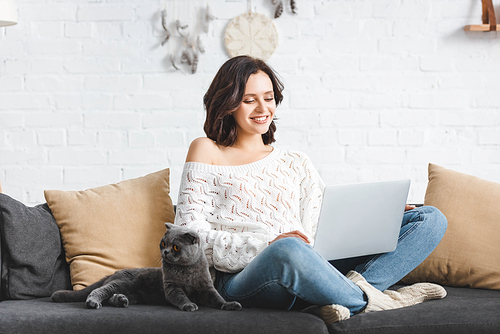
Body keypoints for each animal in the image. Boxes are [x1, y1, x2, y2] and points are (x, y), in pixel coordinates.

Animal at [50, 223, 242, 312]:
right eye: (163, 243)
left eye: (176, 247)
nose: (165, 252)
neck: (186, 271)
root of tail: (114, 272)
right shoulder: (171, 287)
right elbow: (180, 297)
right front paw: (189, 305)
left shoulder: (206, 288)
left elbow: (217, 298)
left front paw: (229, 305)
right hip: (125, 282)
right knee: (99, 290)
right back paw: (93, 302)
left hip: (135, 292)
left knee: (112, 296)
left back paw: (121, 300)